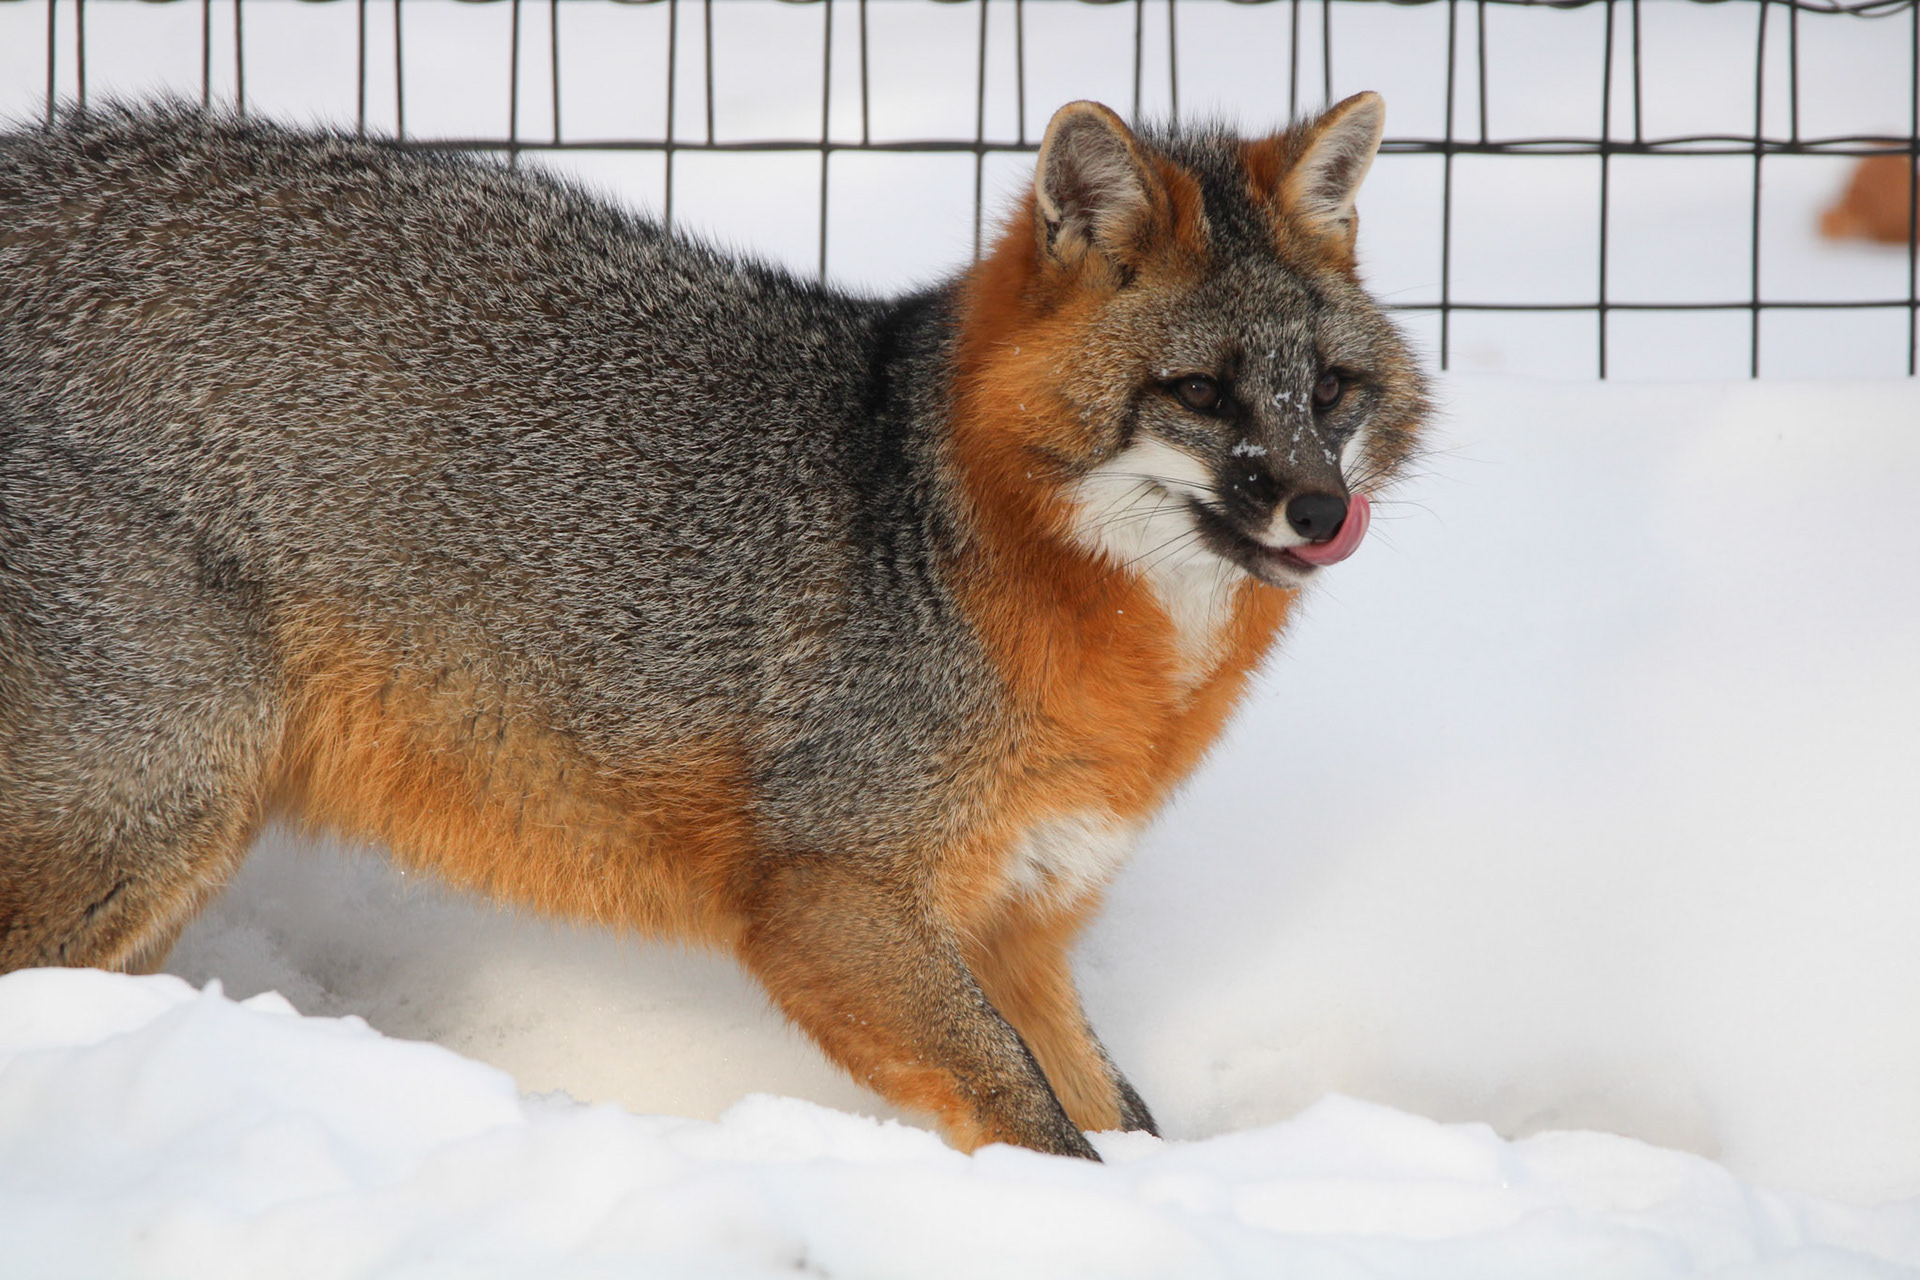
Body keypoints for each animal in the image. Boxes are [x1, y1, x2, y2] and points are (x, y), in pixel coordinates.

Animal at [0, 92, 1427, 1159]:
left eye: (1331, 391)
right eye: (1199, 393)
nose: (1322, 507)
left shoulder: (1023, 918)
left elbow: (1118, 1113)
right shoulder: (831, 892)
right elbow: (1035, 1120)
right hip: (166, 795)